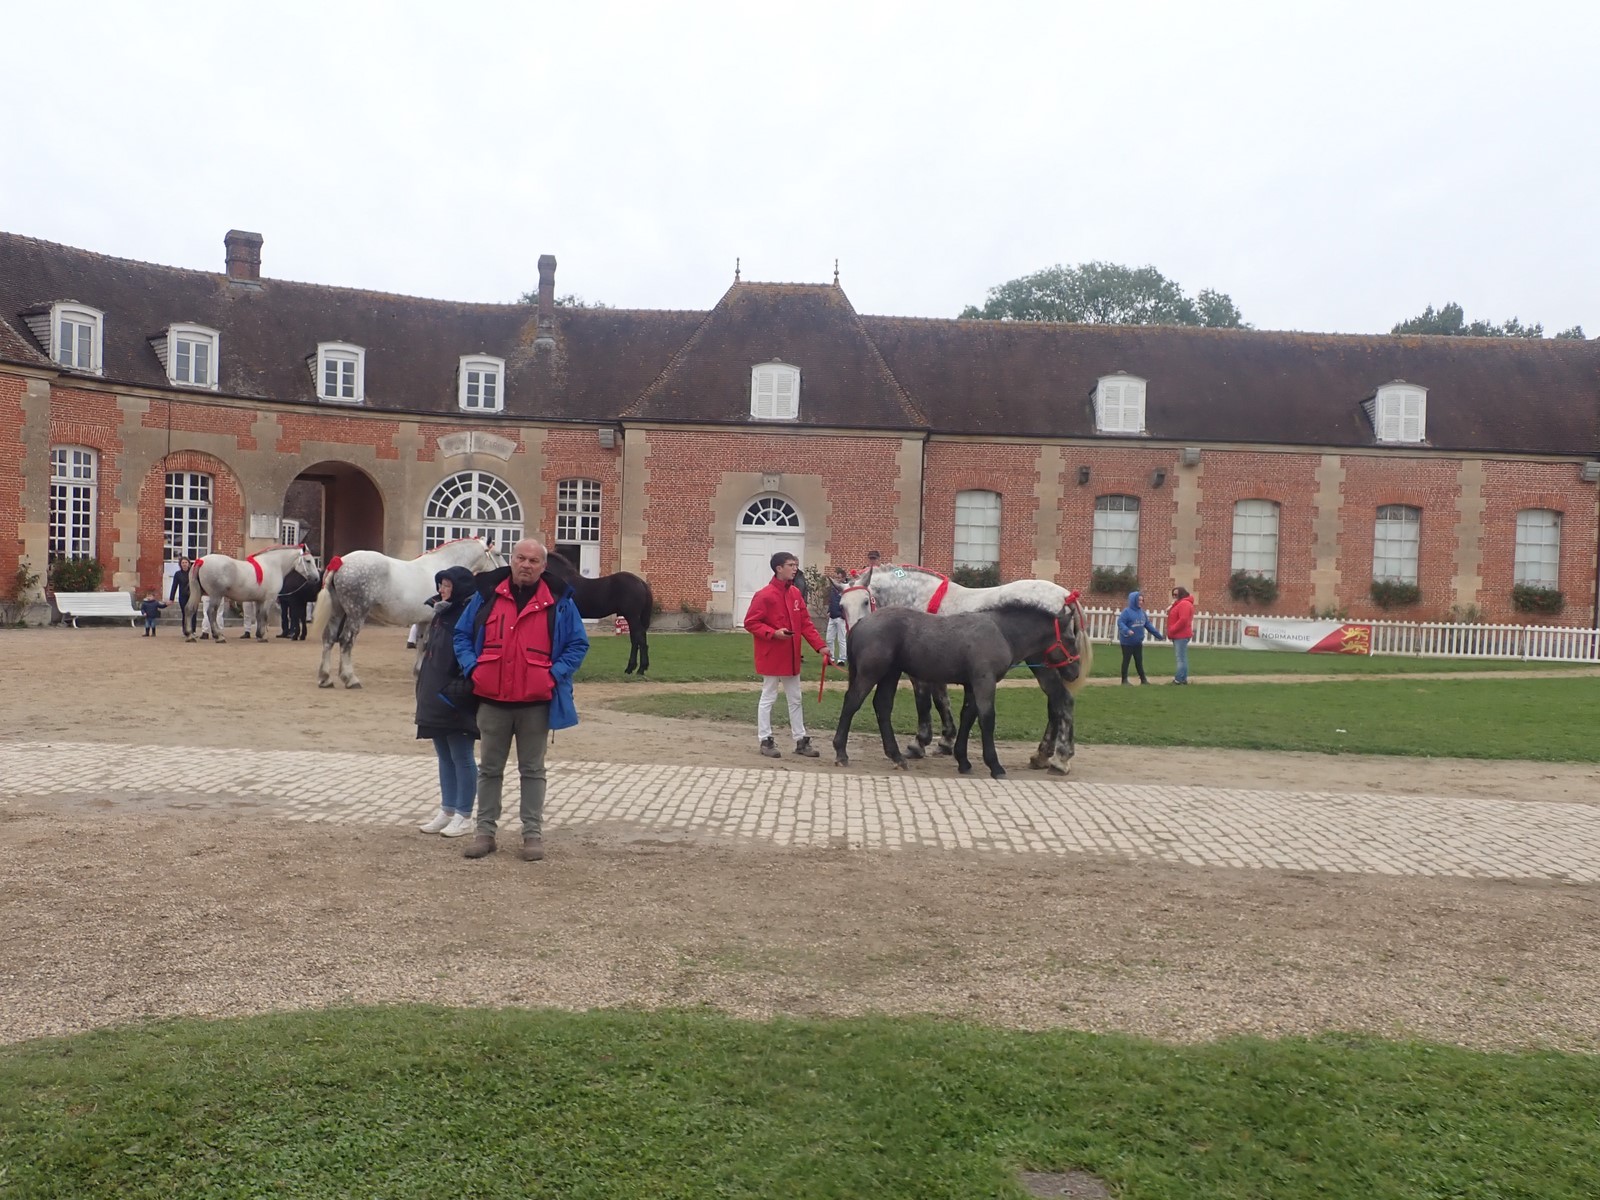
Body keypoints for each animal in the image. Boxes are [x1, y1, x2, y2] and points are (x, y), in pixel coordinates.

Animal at [184, 545, 319, 644]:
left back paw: (190, 635)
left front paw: (259, 635)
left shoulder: (259, 600)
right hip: (216, 596)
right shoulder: (269, 599)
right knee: (211, 613)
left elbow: (259, 616)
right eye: (308, 561)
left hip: (198, 593)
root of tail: (201, 560)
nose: (317, 578)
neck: (273, 565)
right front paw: (263, 636)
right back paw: (219, 637)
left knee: (189, 609)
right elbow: (264, 616)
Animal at [310, 538, 502, 689]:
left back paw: (325, 679)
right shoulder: (434, 619)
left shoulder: (424, 621)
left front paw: (418, 673)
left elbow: (422, 645)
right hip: (356, 613)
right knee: (346, 641)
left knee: (328, 639)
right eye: (498, 553)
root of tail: (340, 562)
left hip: (337, 611)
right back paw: (350, 679)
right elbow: (429, 646)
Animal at [839, 563, 1094, 773]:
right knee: (1056, 704)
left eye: (865, 601)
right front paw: (946, 742)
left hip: (1045, 665)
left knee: (1062, 701)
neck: (922, 596)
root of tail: (1066, 595)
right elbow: (944, 703)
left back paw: (1060, 757)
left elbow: (928, 703)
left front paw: (922, 742)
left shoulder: (924, 675)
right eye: (841, 606)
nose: (854, 630)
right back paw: (1044, 755)